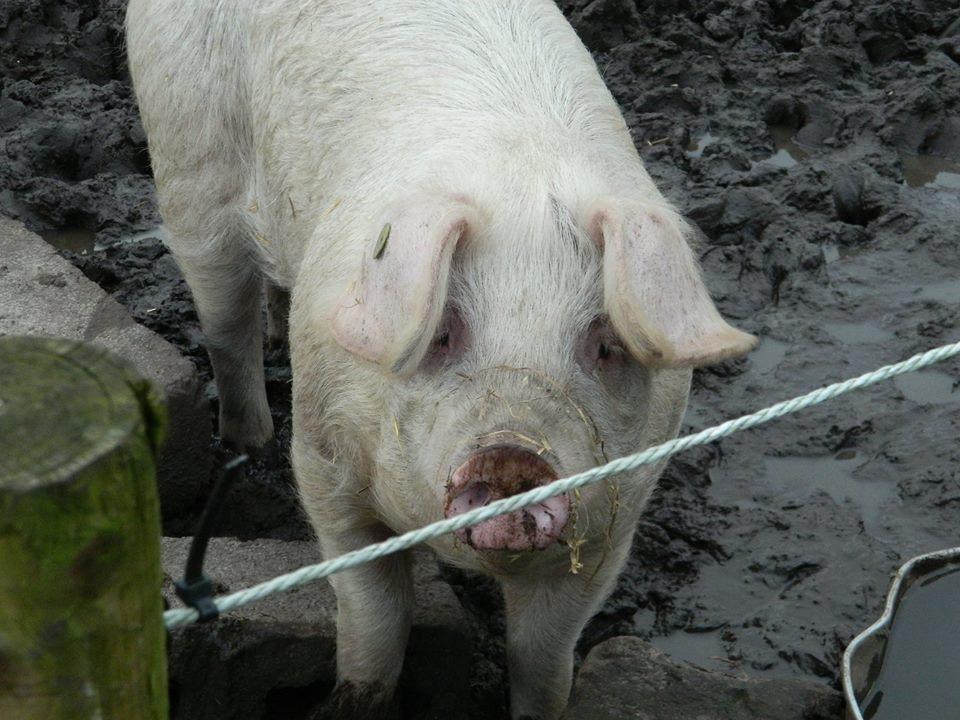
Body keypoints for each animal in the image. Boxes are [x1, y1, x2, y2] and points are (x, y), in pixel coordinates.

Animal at [129, 2, 756, 716]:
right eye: (444, 333)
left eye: (605, 344)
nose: (513, 457)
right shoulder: (324, 465)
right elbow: (375, 617)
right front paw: (355, 701)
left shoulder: (614, 522)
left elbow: (543, 655)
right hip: (188, 154)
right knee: (223, 317)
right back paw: (248, 441)